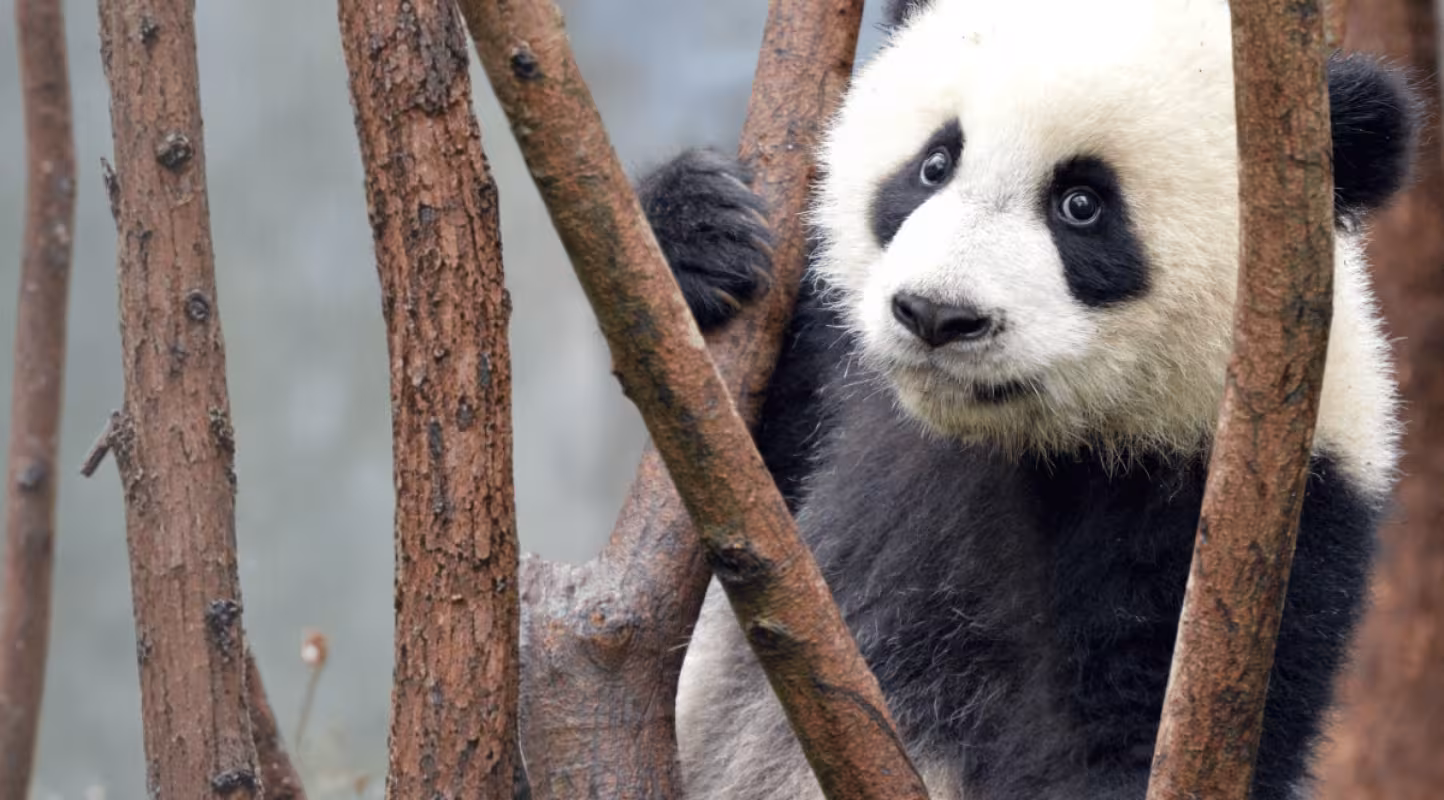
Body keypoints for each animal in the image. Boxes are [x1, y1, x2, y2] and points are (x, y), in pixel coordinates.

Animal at [634, 0, 1419, 797]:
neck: (1014, 440)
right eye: (934, 164)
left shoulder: (1248, 523)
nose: (936, 315)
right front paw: (698, 230)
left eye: (1082, 205)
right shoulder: (837, 380)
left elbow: (1121, 737)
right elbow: (736, 483)